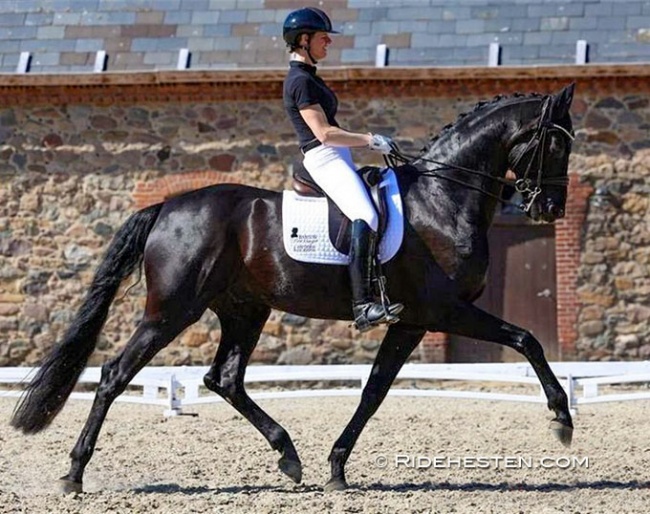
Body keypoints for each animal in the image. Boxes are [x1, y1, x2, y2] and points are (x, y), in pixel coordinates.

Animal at [10, 82, 576, 490]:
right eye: (554, 143)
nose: (550, 209)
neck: (442, 198)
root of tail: (168, 206)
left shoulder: (412, 320)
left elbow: (375, 390)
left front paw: (337, 467)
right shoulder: (443, 309)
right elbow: (526, 339)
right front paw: (562, 419)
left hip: (244, 309)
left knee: (224, 379)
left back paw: (289, 456)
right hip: (173, 310)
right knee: (114, 374)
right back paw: (74, 474)